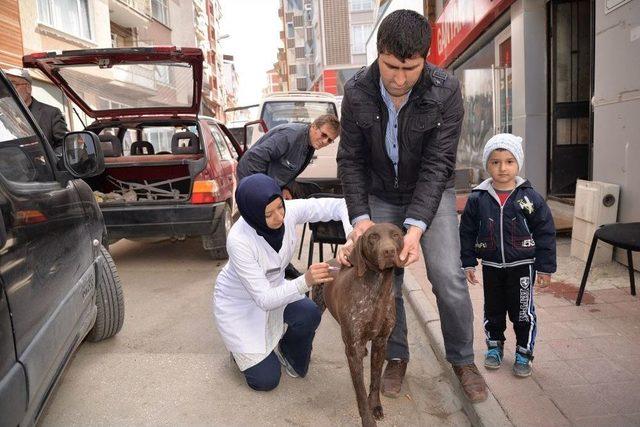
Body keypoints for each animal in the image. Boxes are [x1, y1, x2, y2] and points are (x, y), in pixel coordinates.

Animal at [312, 224, 404, 427]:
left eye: (396, 235)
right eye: (373, 237)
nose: (389, 251)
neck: (378, 288)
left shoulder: (381, 342)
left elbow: (375, 380)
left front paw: (375, 406)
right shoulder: (353, 348)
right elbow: (360, 391)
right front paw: (367, 419)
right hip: (317, 305)